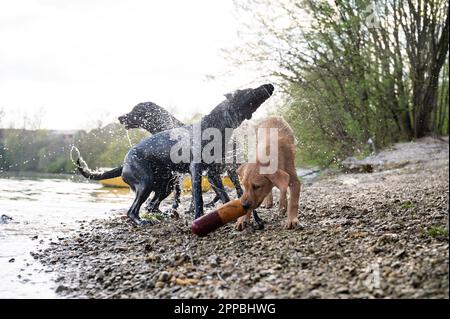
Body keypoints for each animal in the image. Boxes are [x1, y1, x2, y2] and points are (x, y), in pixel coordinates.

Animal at [78, 84, 274, 226]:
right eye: (249, 90)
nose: (269, 85)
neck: (215, 126)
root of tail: (124, 163)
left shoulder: (213, 174)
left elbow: (225, 197)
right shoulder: (197, 170)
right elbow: (198, 199)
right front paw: (197, 217)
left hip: (165, 185)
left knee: (149, 206)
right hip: (147, 183)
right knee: (133, 210)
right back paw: (142, 221)